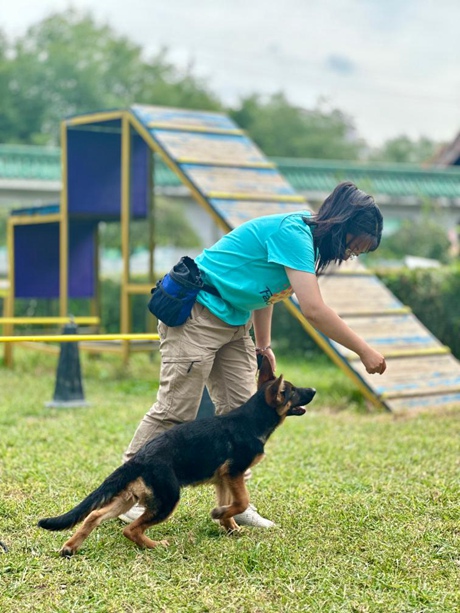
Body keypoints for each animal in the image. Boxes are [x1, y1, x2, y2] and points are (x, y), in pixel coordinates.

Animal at [38, 356, 316, 556]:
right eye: (291, 392)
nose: (313, 389)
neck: (252, 419)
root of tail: (139, 458)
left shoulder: (223, 480)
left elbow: (232, 505)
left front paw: (230, 526)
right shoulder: (235, 473)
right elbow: (241, 502)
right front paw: (220, 514)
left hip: (130, 497)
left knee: (94, 515)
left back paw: (70, 546)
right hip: (168, 499)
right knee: (130, 529)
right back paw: (155, 546)